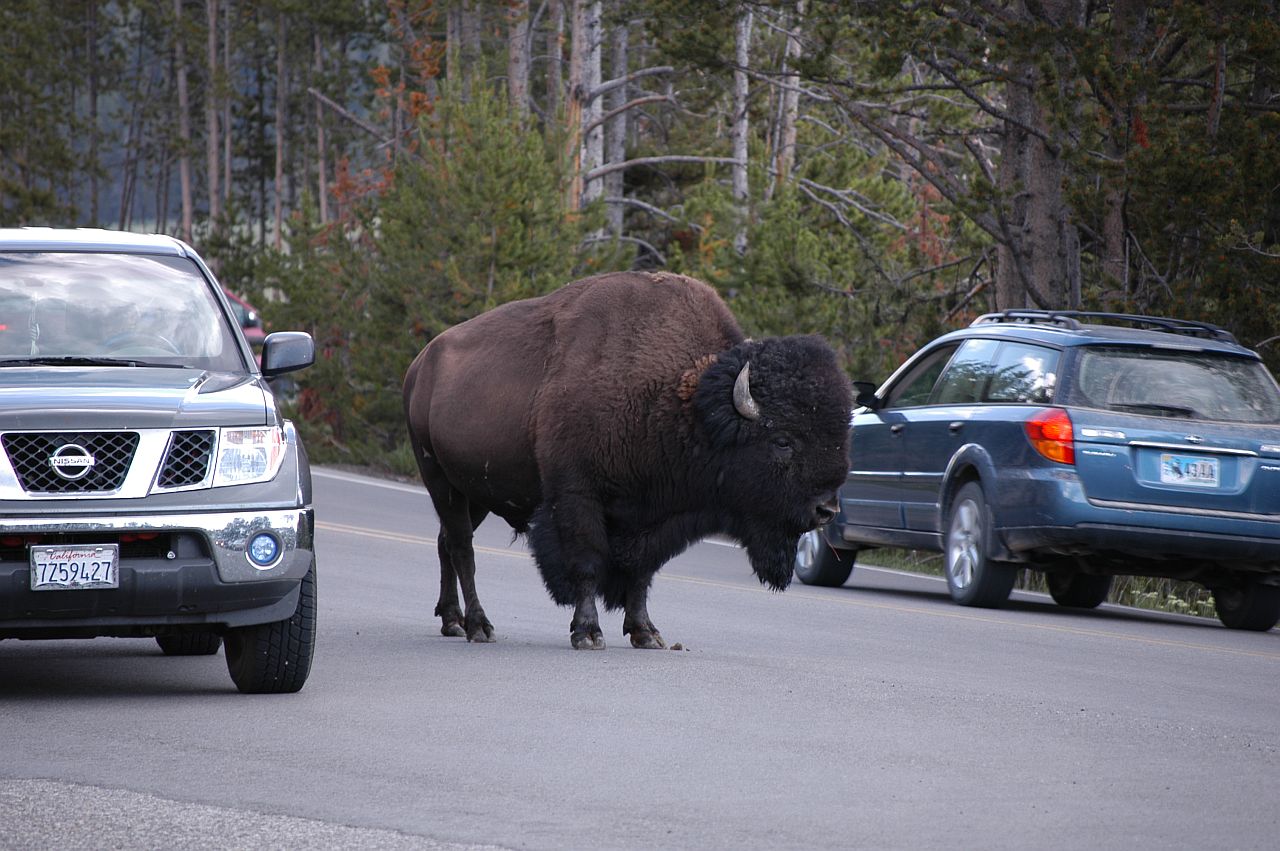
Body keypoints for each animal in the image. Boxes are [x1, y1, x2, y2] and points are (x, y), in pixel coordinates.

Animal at [404, 268, 855, 647]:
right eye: (782, 441)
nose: (826, 510)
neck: (682, 403)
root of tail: (422, 362)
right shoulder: (577, 496)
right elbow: (587, 562)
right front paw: (588, 633)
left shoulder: (654, 519)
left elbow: (641, 573)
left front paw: (646, 633)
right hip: (439, 479)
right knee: (462, 548)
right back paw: (479, 626)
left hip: (474, 492)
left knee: (446, 543)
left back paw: (452, 621)